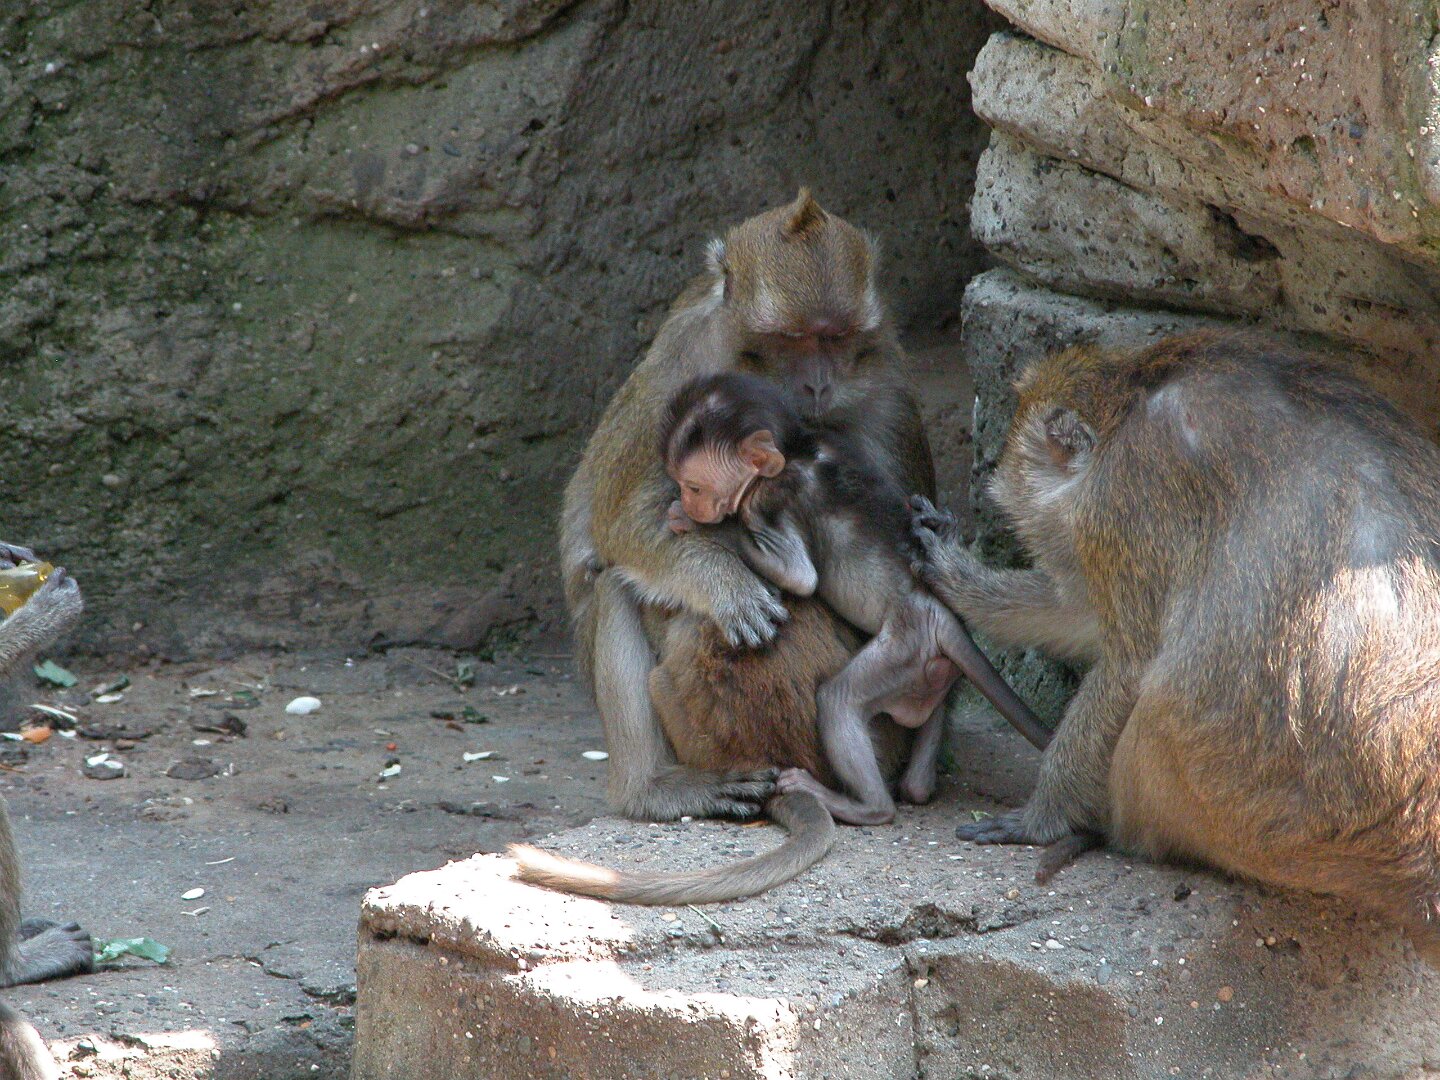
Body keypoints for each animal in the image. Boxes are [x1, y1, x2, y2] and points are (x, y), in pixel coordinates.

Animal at [558, 190, 936, 824]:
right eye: (792, 340)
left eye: (834, 339)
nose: (816, 386)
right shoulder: (683, 366)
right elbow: (620, 522)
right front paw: (726, 584)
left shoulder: (886, 377)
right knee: (613, 585)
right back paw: (651, 788)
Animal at [910, 329, 1440, 949]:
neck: (1128, 399)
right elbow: (1082, 616)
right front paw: (954, 574)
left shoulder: (1124, 500)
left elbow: (1127, 663)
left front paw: (1042, 818)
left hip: (1244, 811)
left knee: (1154, 707)